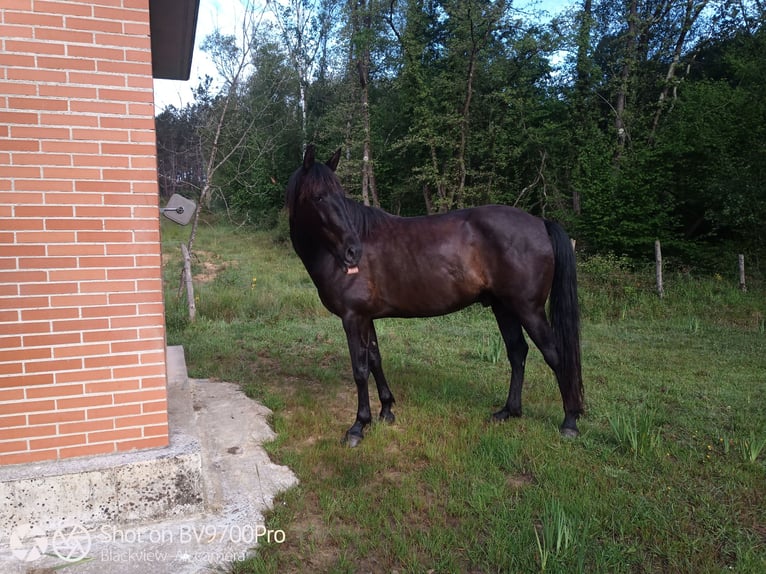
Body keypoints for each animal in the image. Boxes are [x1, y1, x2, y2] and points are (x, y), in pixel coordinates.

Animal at [286, 146, 584, 448]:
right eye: (318, 196)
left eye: (340, 194)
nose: (352, 251)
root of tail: (540, 222)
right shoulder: (366, 317)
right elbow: (375, 360)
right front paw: (386, 410)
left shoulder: (352, 318)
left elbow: (359, 369)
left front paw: (359, 426)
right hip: (504, 308)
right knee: (517, 352)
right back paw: (509, 411)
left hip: (528, 309)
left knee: (554, 354)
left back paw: (570, 421)